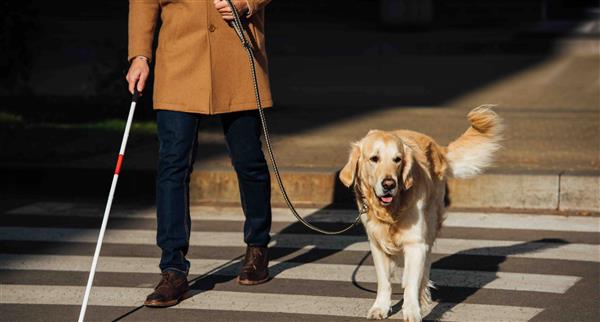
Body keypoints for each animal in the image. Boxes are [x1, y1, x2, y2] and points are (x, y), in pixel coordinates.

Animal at [340, 106, 504, 322]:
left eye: (397, 159)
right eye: (374, 159)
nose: (389, 184)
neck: (391, 211)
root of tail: (436, 145)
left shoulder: (416, 243)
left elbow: (411, 283)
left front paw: (411, 311)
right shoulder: (377, 244)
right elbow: (384, 282)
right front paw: (380, 307)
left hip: (431, 223)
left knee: (424, 268)